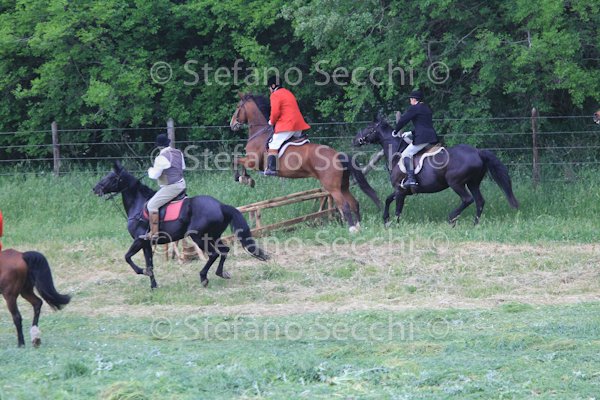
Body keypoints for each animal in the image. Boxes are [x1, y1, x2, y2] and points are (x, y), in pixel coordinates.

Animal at [93, 161, 269, 289]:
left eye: (110, 177)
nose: (95, 189)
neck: (138, 204)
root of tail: (220, 205)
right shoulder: (146, 243)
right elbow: (150, 262)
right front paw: (153, 285)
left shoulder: (139, 240)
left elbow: (128, 257)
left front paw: (143, 272)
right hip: (214, 236)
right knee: (224, 251)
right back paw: (221, 273)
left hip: (199, 237)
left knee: (213, 254)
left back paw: (204, 278)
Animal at [230, 93, 381, 232]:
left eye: (237, 107)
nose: (232, 125)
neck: (259, 132)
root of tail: (338, 155)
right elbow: (237, 160)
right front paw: (246, 179)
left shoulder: (252, 162)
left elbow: (235, 160)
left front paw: (243, 178)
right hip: (343, 186)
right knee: (354, 203)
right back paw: (359, 226)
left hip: (333, 187)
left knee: (344, 205)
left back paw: (352, 229)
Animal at [353, 115, 519, 226]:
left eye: (369, 128)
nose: (355, 140)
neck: (397, 152)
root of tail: (478, 152)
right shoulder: (402, 189)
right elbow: (388, 199)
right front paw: (386, 220)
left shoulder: (400, 190)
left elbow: (398, 209)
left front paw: (395, 224)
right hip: (473, 183)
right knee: (479, 201)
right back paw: (475, 224)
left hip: (456, 183)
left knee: (468, 199)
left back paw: (451, 218)